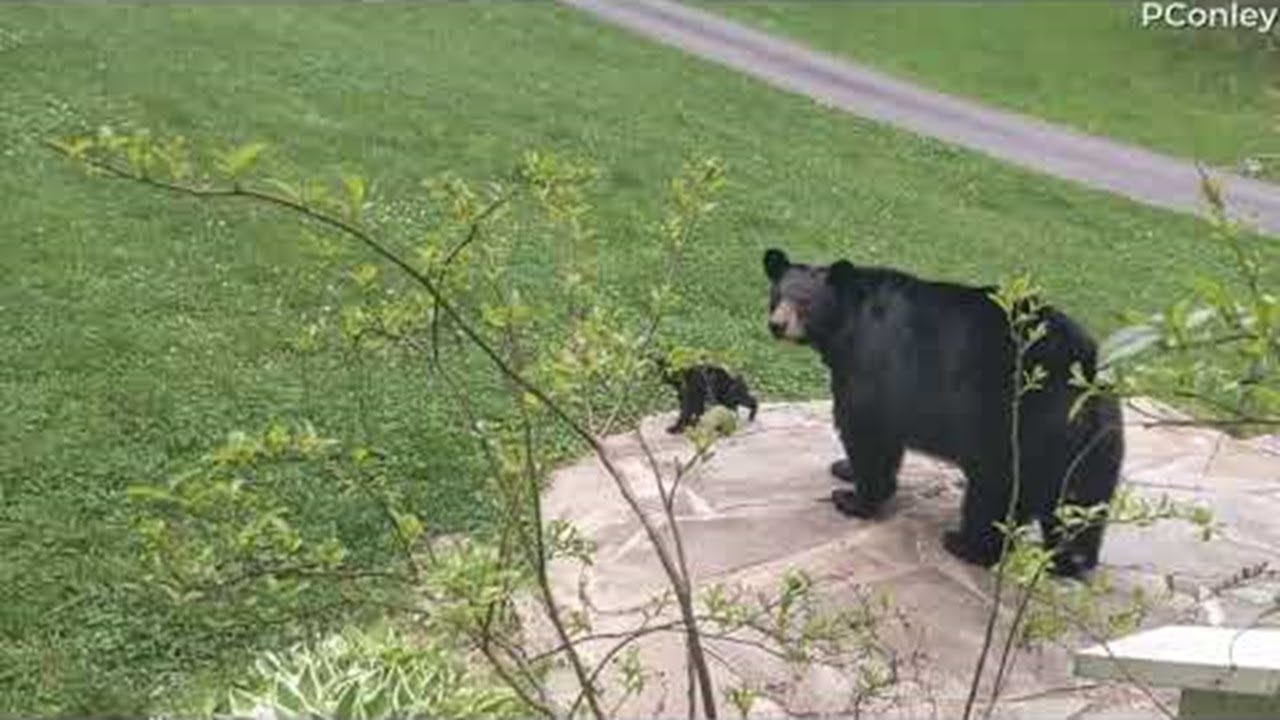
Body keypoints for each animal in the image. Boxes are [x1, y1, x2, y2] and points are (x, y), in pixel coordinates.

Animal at [762, 248, 1124, 578]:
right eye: (776, 296)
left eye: (805, 302)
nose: (777, 325)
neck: (848, 322)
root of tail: (1086, 374)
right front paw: (843, 468)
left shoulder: (873, 363)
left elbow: (867, 431)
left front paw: (851, 498)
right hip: (1093, 442)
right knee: (1080, 502)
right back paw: (1071, 561)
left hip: (1014, 422)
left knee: (996, 491)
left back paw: (965, 545)